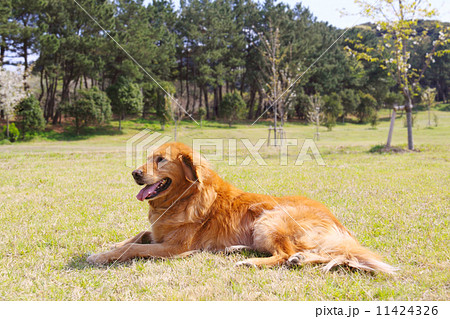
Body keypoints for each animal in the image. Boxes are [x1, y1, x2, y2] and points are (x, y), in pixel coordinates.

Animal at [87, 143, 394, 276]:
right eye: (148, 157)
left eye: (160, 159)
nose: (134, 173)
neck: (184, 198)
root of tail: (337, 222)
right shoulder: (158, 233)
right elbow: (136, 236)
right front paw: (107, 248)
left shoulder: (174, 248)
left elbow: (134, 247)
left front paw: (102, 257)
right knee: (317, 254)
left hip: (269, 220)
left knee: (286, 254)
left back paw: (252, 262)